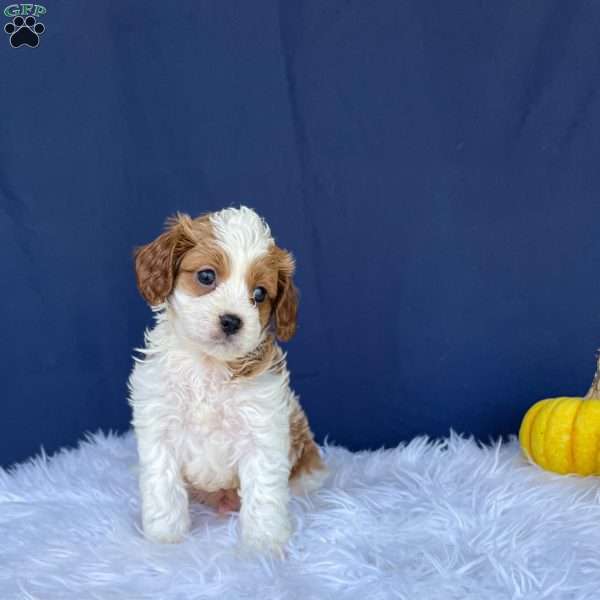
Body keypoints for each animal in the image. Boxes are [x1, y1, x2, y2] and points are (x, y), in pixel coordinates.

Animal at [127, 206, 328, 552]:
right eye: (206, 277)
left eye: (259, 294)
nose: (232, 321)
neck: (207, 366)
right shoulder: (159, 428)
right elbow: (163, 488)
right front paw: (164, 538)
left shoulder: (261, 433)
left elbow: (263, 495)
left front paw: (263, 544)